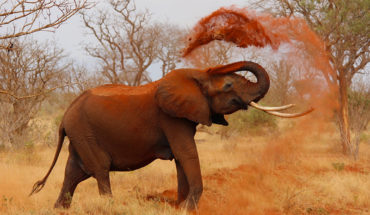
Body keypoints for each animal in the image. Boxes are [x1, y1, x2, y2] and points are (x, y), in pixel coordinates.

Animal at [29, 60, 312, 210]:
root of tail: (65, 114)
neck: (196, 76)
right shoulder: (171, 118)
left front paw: (180, 206)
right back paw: (109, 207)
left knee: (73, 173)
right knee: (99, 169)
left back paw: (59, 210)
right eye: (229, 85)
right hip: (84, 132)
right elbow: (186, 153)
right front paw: (187, 208)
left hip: (79, 134)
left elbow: (180, 158)